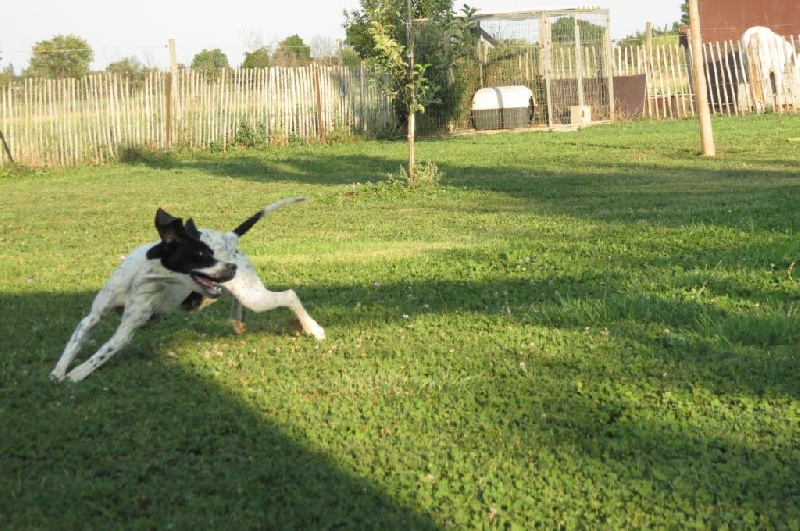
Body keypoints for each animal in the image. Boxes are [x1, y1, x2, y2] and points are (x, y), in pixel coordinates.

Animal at [51, 196, 324, 382]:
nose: (231, 267)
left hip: (253, 296)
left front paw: (77, 373)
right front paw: (58, 372)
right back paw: (236, 320)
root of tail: (230, 236)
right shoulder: (93, 317)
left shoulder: (125, 331)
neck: (142, 277)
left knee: (289, 296)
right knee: (233, 299)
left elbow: (100, 353)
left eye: (210, 253)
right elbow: (74, 343)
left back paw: (314, 329)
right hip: (235, 291)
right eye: (202, 254)